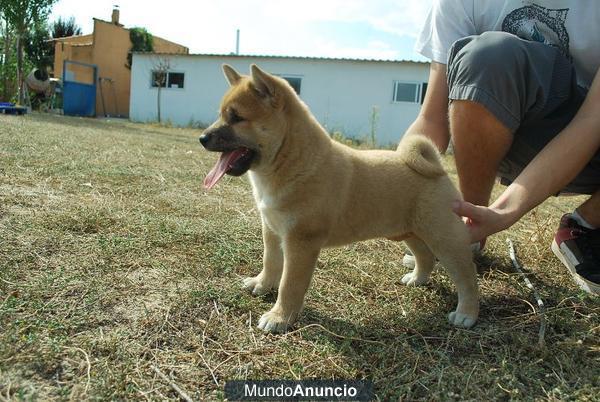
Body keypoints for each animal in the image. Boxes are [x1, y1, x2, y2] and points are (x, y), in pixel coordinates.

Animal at [199, 63, 480, 332]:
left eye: (236, 118)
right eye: (221, 115)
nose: (202, 138)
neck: (291, 161)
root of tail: (438, 169)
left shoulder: (301, 242)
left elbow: (290, 284)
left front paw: (279, 317)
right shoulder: (272, 230)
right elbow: (271, 262)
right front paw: (262, 283)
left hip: (444, 238)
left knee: (467, 277)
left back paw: (467, 313)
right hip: (407, 231)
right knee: (425, 256)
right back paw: (417, 278)